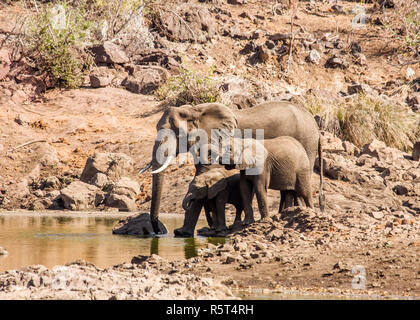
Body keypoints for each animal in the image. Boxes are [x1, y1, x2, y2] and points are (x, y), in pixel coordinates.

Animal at [139, 101, 324, 234]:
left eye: (177, 134)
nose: (158, 232)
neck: (195, 110)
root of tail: (316, 125)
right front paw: (183, 233)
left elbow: (203, 173)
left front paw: (183, 233)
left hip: (306, 144)